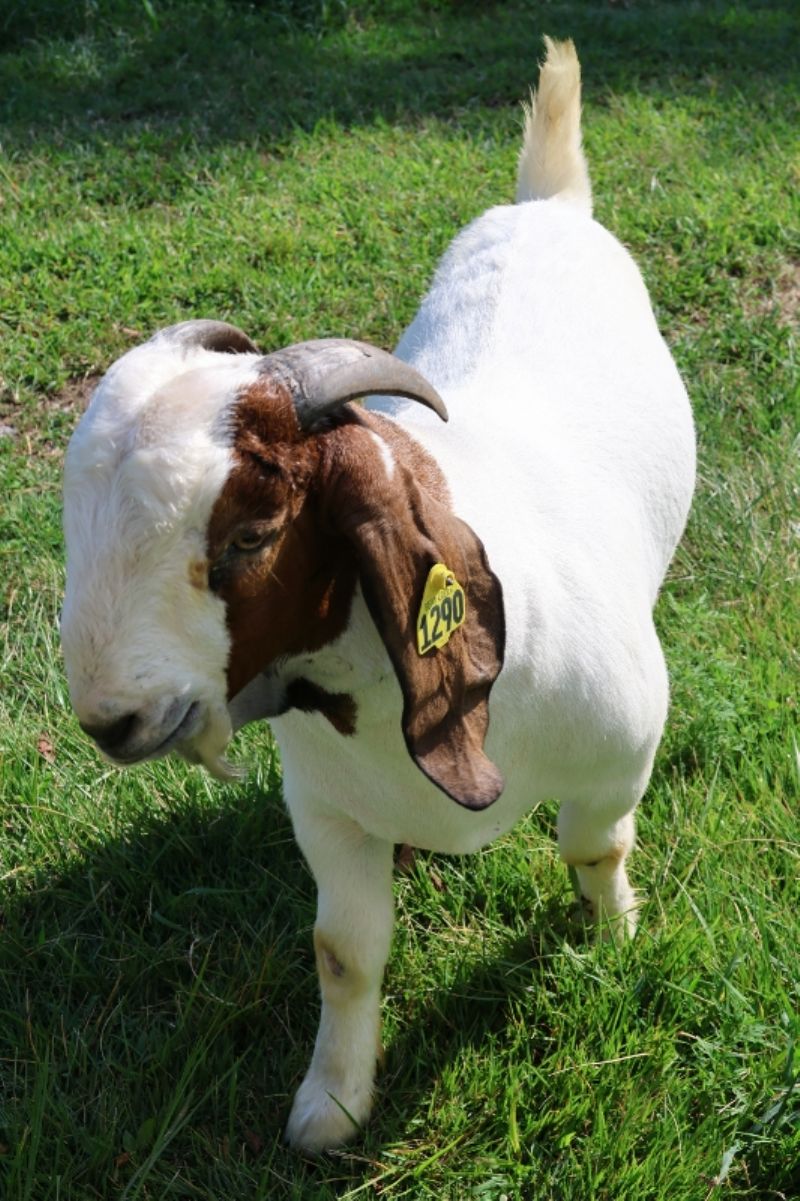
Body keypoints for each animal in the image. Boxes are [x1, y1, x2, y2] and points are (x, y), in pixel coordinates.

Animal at [60, 39, 691, 1152]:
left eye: (251, 533)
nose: (110, 718)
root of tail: (544, 204)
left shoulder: (625, 748)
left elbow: (593, 839)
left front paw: (614, 933)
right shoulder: (327, 812)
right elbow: (344, 951)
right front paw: (333, 1103)